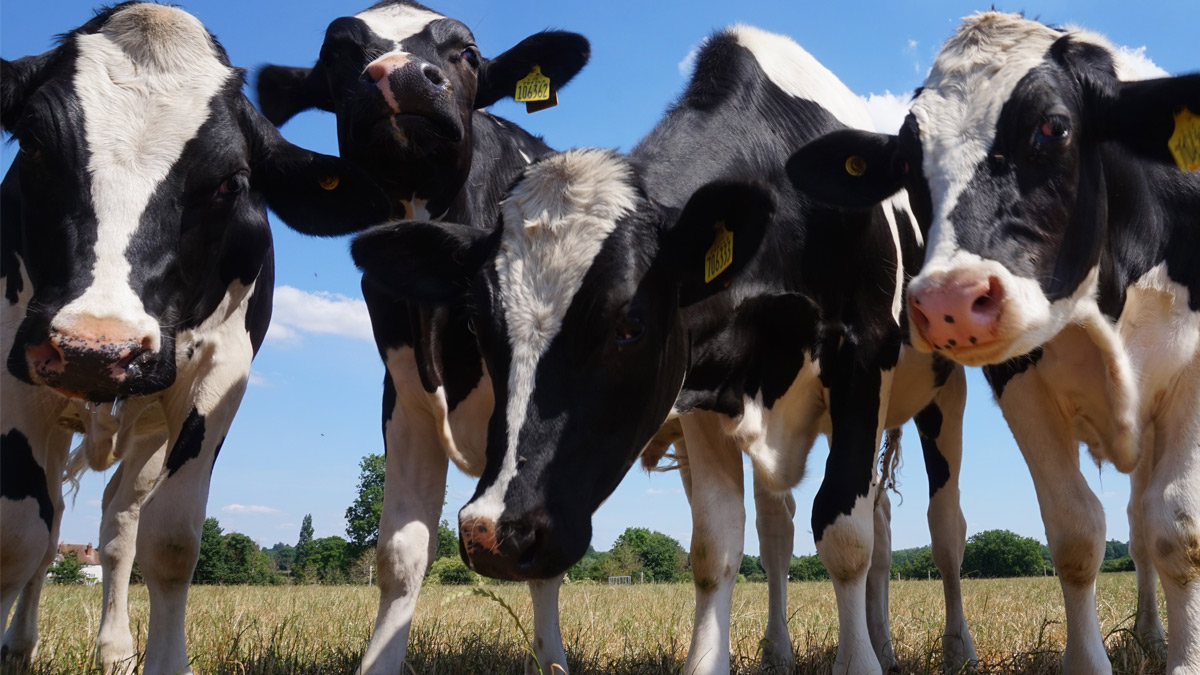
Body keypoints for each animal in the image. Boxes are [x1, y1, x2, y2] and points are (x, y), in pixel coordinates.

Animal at [0, 4, 388, 674]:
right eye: (30, 144)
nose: (96, 348)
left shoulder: (218, 376)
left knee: (117, 523)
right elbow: (16, 535)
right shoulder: (12, 365)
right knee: (48, 533)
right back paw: (21, 646)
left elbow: (171, 539)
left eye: (231, 181)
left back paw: (113, 650)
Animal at [254, 2, 589, 672]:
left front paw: (553, 662)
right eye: (337, 52)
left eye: (468, 52)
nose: (402, 75)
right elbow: (401, 556)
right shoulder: (404, 397)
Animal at [348, 25, 979, 675]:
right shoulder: (706, 388)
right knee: (798, 528)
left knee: (942, 526)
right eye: (476, 325)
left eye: (631, 323)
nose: (492, 532)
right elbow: (718, 545)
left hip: (942, 392)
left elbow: (846, 536)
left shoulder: (861, 360)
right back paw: (806, 647)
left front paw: (861, 661)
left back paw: (951, 647)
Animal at [786, 12, 1200, 675]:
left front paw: (1185, 658)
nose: (949, 301)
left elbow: (1177, 527)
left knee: (1143, 520)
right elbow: (1076, 532)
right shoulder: (1020, 382)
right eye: (906, 163)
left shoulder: (1188, 372)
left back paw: (1155, 637)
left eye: (1053, 126)